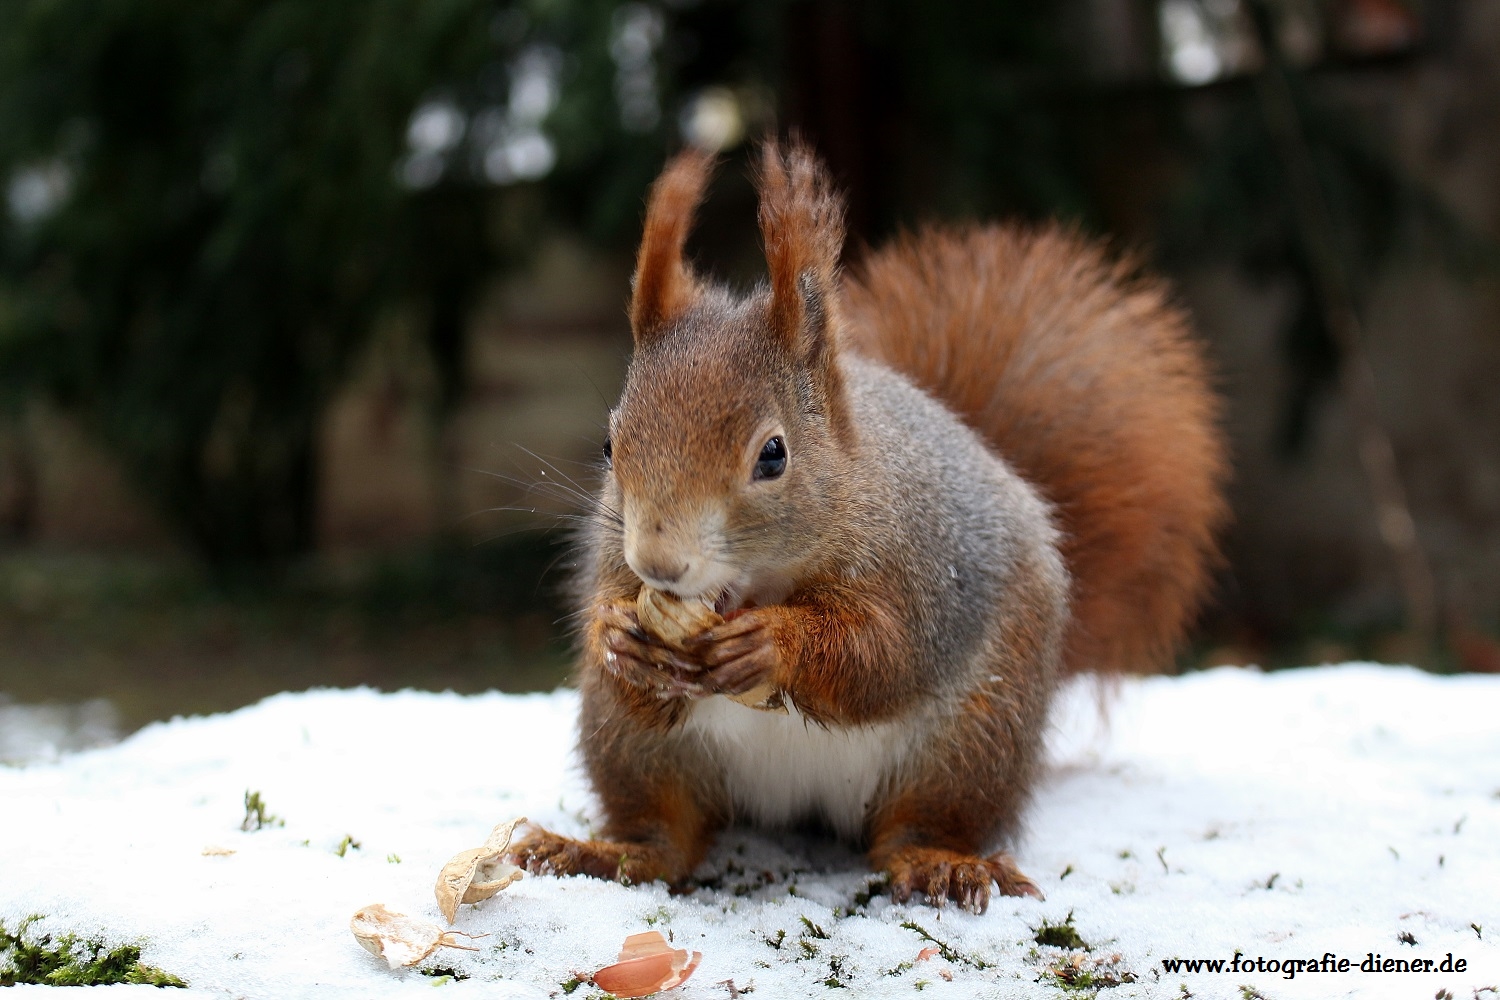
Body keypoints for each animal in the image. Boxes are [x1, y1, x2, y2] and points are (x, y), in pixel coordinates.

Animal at [510, 140, 1224, 917]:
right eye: (611, 446)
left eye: (773, 454)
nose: (659, 565)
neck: (759, 581)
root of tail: (797, 803)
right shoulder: (614, 566)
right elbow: (614, 632)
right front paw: (617, 636)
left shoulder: (919, 565)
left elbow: (882, 654)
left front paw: (775, 644)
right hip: (629, 746)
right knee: (666, 833)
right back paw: (606, 852)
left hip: (973, 734)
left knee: (916, 825)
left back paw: (942, 863)